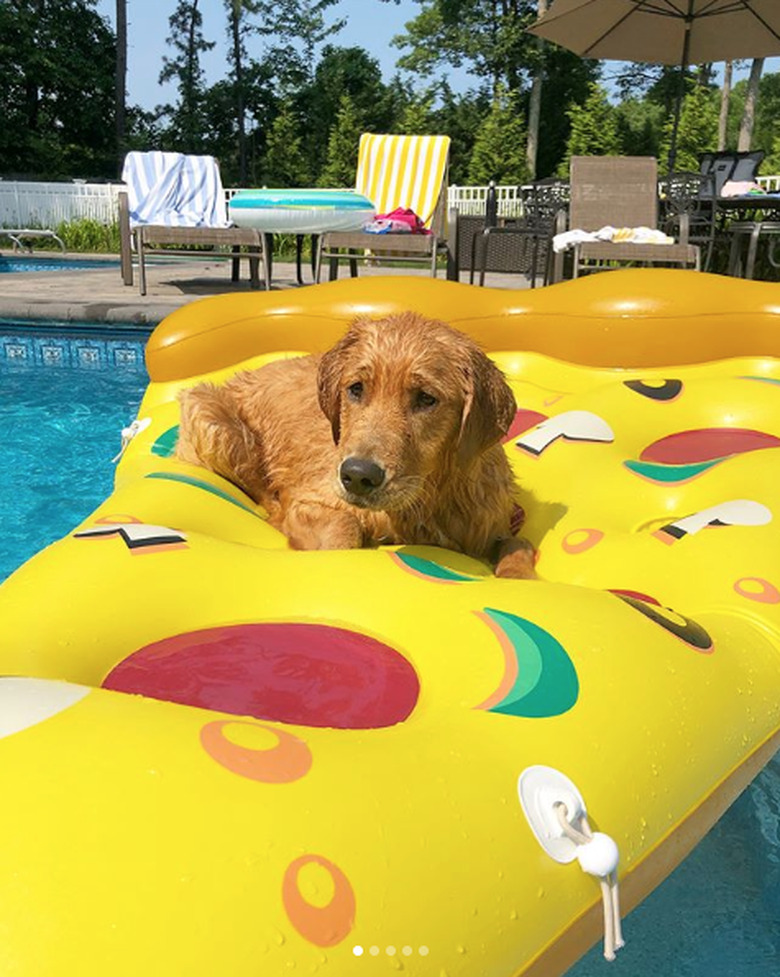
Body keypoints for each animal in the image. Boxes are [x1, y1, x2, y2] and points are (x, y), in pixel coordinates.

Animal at [177, 312, 536, 576]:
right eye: (356, 388)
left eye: (426, 398)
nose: (358, 476)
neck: (426, 500)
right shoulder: (310, 499)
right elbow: (343, 527)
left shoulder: (491, 524)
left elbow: (518, 546)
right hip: (212, 418)